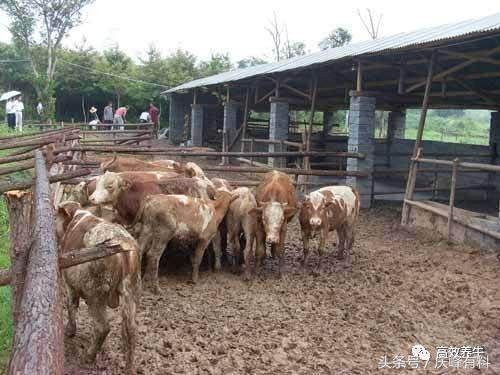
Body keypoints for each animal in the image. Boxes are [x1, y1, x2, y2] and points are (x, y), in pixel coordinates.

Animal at [55, 203, 140, 375]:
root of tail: (121, 244)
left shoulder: (69, 285)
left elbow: (71, 306)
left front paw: (70, 331)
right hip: (130, 291)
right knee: (131, 330)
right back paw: (129, 368)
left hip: (96, 294)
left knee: (103, 327)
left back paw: (88, 357)